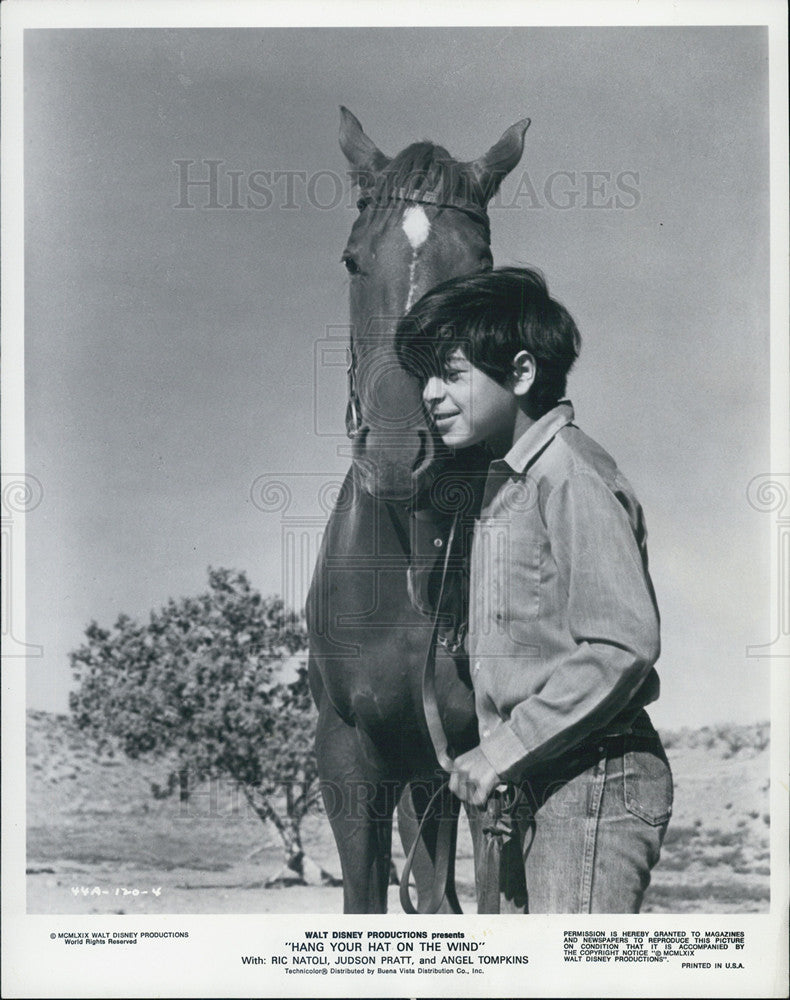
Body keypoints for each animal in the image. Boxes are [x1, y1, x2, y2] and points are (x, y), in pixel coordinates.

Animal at [306, 109, 528, 916]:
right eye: (350, 262)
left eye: (480, 264)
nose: (405, 452)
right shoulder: (348, 754)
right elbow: (365, 895)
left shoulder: (482, 766)